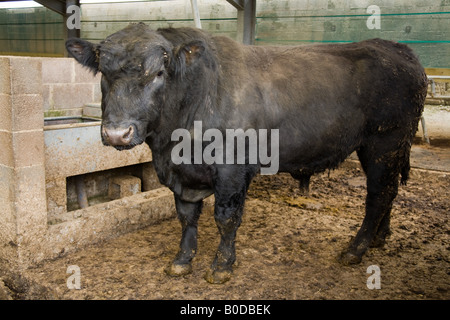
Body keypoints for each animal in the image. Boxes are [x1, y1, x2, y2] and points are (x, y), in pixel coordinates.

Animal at [66, 24, 426, 284]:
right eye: (104, 73)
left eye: (158, 73)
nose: (117, 133)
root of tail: (396, 48)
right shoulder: (180, 173)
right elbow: (186, 217)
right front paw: (182, 261)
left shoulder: (231, 168)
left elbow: (226, 219)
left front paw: (221, 267)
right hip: (390, 149)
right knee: (390, 191)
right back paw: (379, 238)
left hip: (384, 143)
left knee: (378, 195)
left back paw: (356, 249)